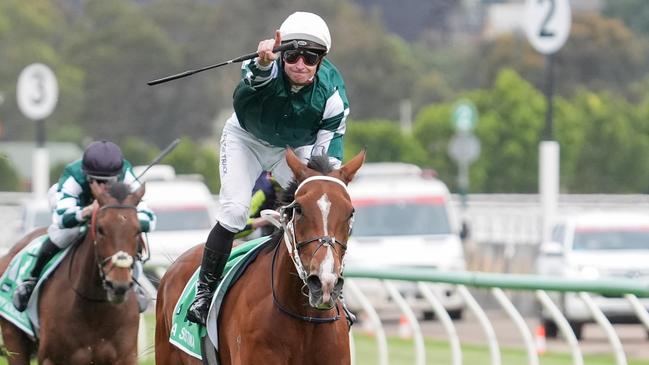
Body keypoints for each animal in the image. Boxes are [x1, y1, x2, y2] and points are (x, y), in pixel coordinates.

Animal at [0, 181, 146, 364]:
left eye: (138, 230)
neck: (95, 312)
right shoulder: (50, 358)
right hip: (13, 338)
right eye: (100, 229)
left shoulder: (126, 356)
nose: (118, 285)